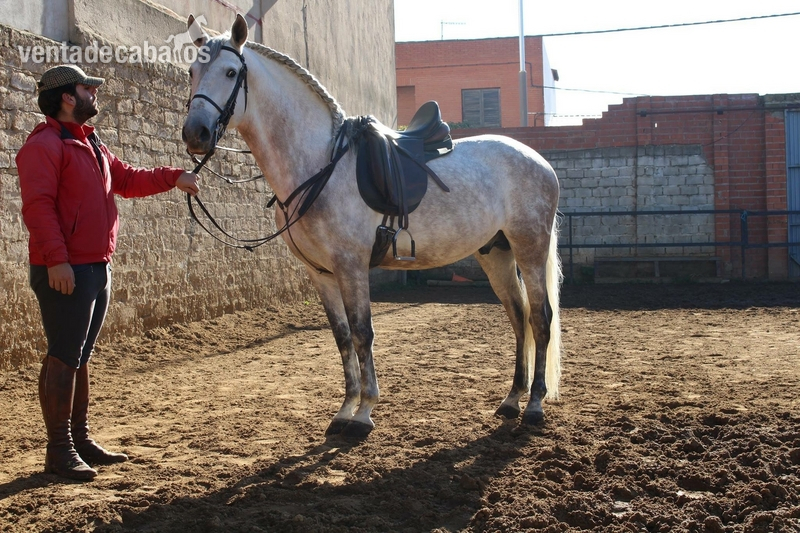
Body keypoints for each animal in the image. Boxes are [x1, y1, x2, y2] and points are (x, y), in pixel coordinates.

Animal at [181, 14, 562, 440]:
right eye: (192, 71)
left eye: (231, 72)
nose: (195, 133)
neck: (319, 163)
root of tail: (538, 160)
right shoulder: (321, 274)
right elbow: (343, 337)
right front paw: (345, 409)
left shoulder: (351, 266)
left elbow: (364, 333)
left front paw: (364, 413)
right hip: (496, 253)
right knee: (518, 316)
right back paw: (512, 400)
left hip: (529, 248)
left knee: (540, 318)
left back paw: (534, 405)